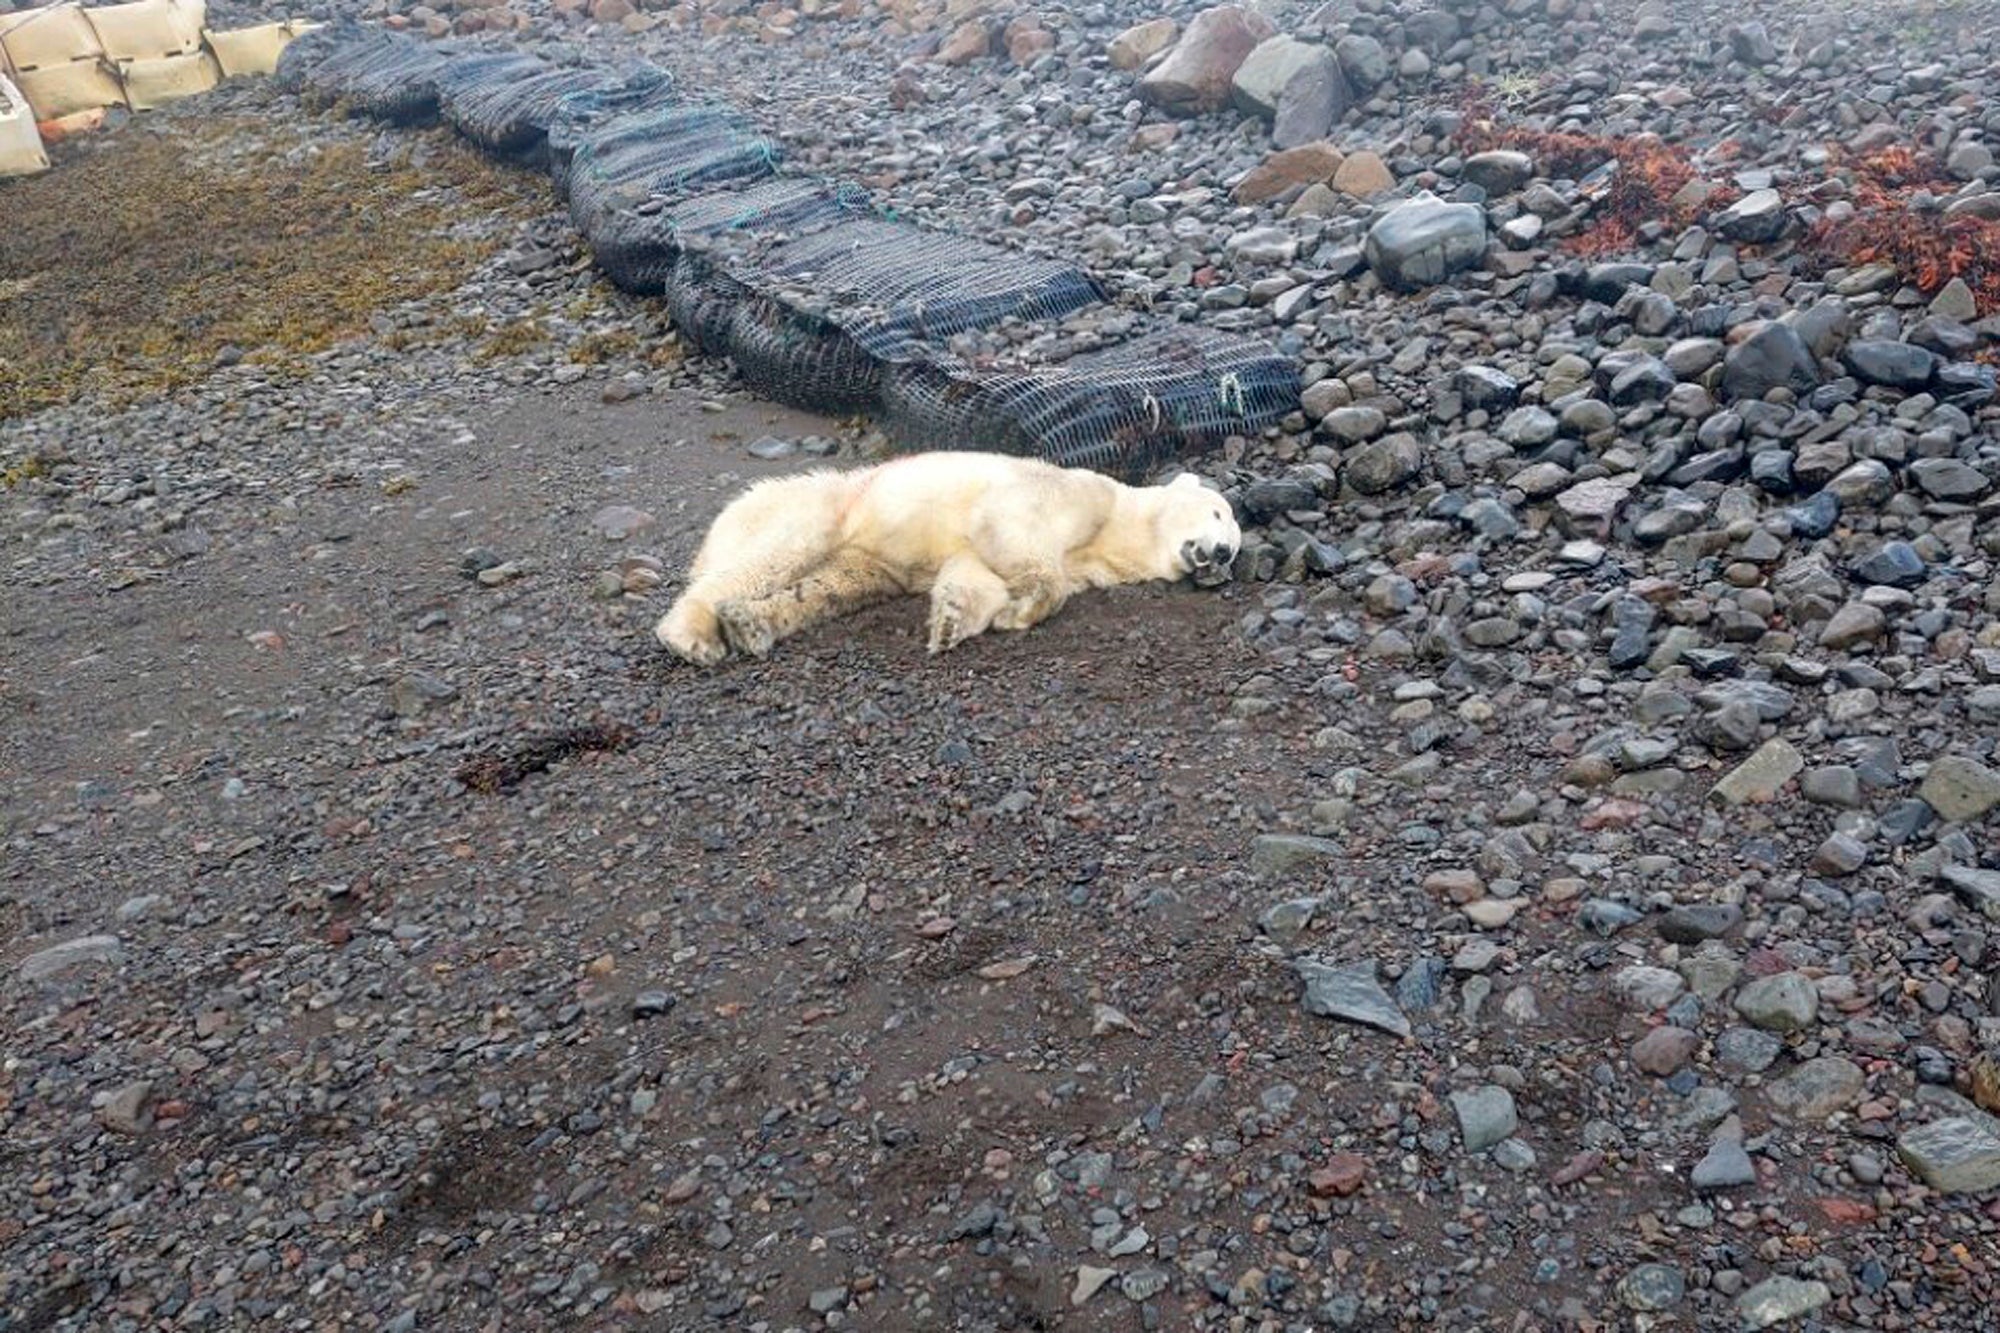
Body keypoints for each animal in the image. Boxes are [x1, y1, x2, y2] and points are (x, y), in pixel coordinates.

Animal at [655, 451, 1241, 664]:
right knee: (773, 556)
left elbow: (975, 572)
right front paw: (1024, 607)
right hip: (824, 506)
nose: (1221, 553)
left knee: (830, 587)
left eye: (1235, 548)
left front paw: (954, 622)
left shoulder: (1085, 560)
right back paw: (693, 635)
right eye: (1218, 513)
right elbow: (1012, 528)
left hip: (863, 558)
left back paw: (750, 625)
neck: (1119, 526)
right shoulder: (1074, 492)